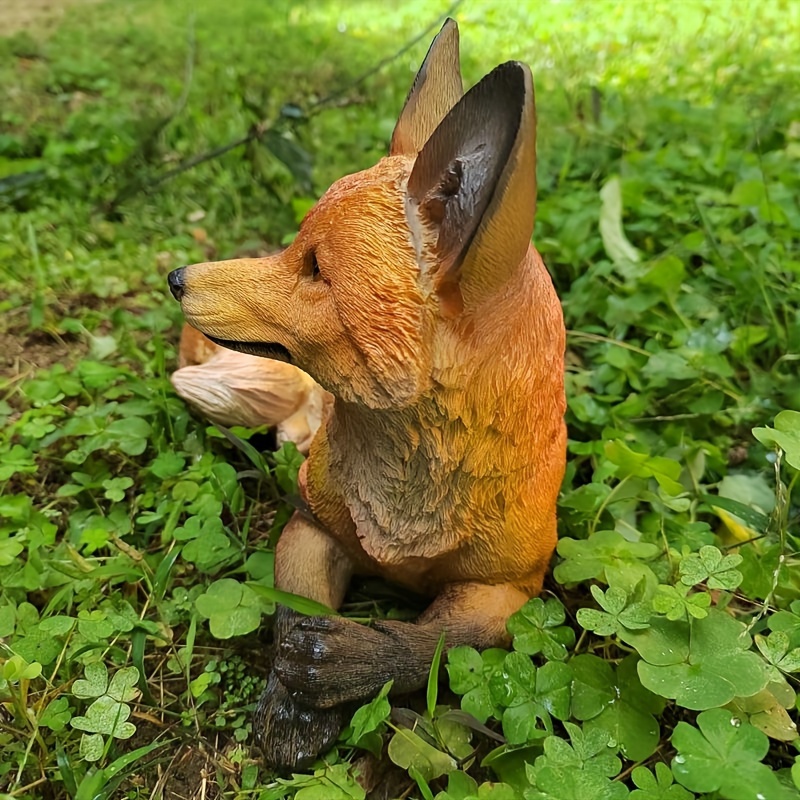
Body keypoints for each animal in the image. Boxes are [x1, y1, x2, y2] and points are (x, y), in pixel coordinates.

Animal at [168, 18, 566, 770]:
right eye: (292, 246)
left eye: (316, 270)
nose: (177, 278)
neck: (405, 505)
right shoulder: (312, 525)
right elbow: (295, 609)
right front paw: (291, 703)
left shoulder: (511, 589)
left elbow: (433, 642)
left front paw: (345, 665)